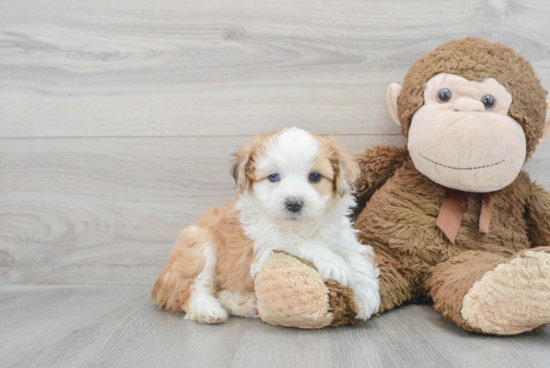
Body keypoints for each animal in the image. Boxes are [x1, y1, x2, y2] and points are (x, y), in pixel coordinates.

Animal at [153, 128, 382, 324]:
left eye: (315, 176)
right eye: (273, 177)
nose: (294, 203)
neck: (303, 226)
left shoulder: (344, 238)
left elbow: (358, 258)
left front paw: (367, 296)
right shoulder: (265, 249)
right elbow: (300, 243)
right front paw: (335, 263)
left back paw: (244, 304)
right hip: (199, 245)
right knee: (191, 287)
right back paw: (208, 309)